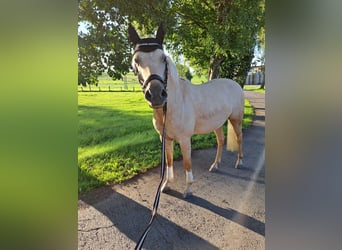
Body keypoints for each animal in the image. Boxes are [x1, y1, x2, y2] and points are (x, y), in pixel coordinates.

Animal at [129, 24, 246, 198]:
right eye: (136, 61)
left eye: (163, 58)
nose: (156, 95)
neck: (175, 104)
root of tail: (235, 84)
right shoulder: (166, 138)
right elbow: (169, 161)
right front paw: (166, 185)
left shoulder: (184, 139)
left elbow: (187, 163)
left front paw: (188, 189)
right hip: (217, 123)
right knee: (220, 140)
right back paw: (215, 165)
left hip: (236, 119)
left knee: (239, 138)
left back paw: (239, 162)